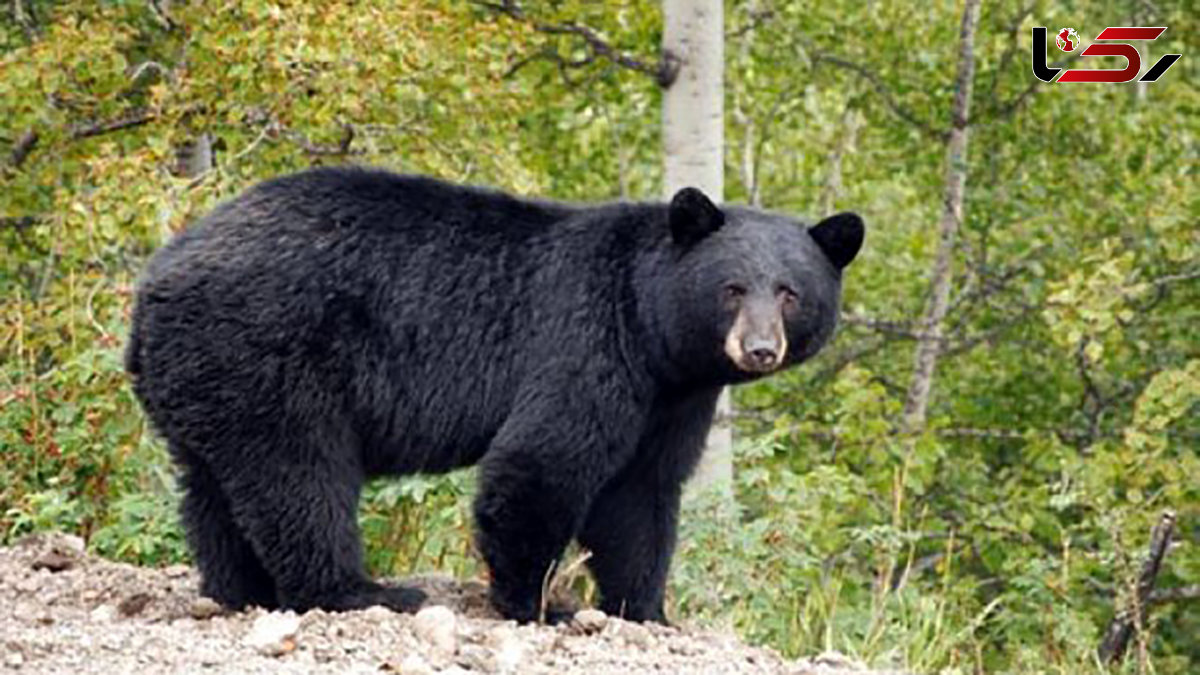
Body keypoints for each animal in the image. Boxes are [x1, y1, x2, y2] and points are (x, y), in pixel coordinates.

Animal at [126, 166, 864, 619]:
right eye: (732, 288)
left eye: (791, 292)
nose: (760, 348)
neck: (651, 329)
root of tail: (155, 280)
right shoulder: (585, 342)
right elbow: (541, 462)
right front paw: (541, 603)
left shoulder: (672, 398)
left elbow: (641, 494)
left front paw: (645, 608)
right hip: (271, 354)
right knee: (299, 476)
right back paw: (360, 590)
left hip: (206, 376)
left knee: (213, 488)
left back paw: (241, 588)